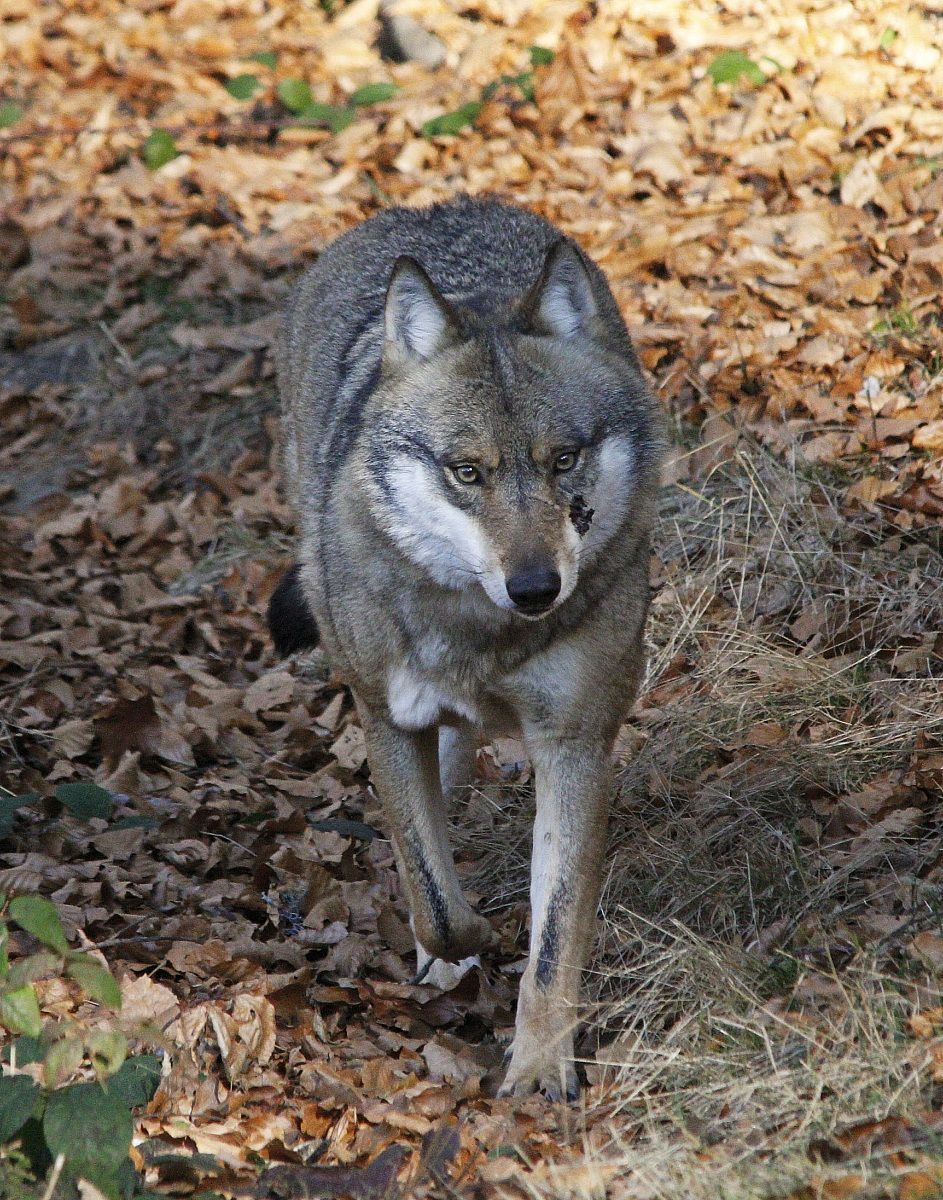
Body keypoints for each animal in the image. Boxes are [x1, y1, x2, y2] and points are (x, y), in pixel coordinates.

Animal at [270, 195, 663, 1099]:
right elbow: (434, 898)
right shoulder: (385, 717)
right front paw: (468, 944)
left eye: (564, 460)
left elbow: (554, 937)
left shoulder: (574, 742)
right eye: (467, 472)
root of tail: (433, 208)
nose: (535, 588)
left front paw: (542, 1073)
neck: (482, 635)